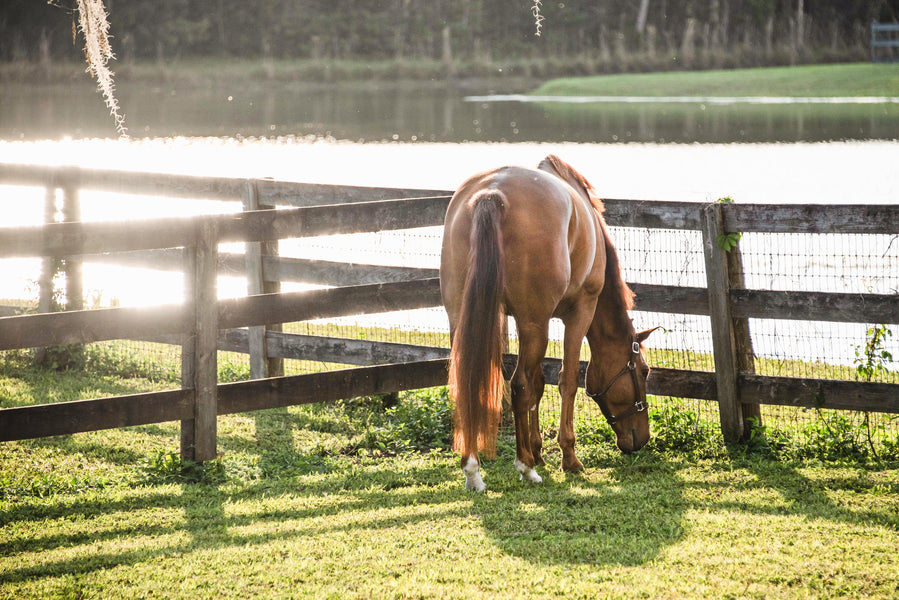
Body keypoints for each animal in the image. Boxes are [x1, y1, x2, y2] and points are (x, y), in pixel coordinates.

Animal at [442, 155, 656, 492]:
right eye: (643, 371)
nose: (641, 440)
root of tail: (491, 194)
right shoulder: (580, 312)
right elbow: (566, 380)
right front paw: (567, 457)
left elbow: (539, 384)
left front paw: (539, 450)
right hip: (535, 323)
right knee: (518, 385)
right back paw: (525, 467)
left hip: (463, 317)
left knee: (469, 385)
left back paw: (473, 470)